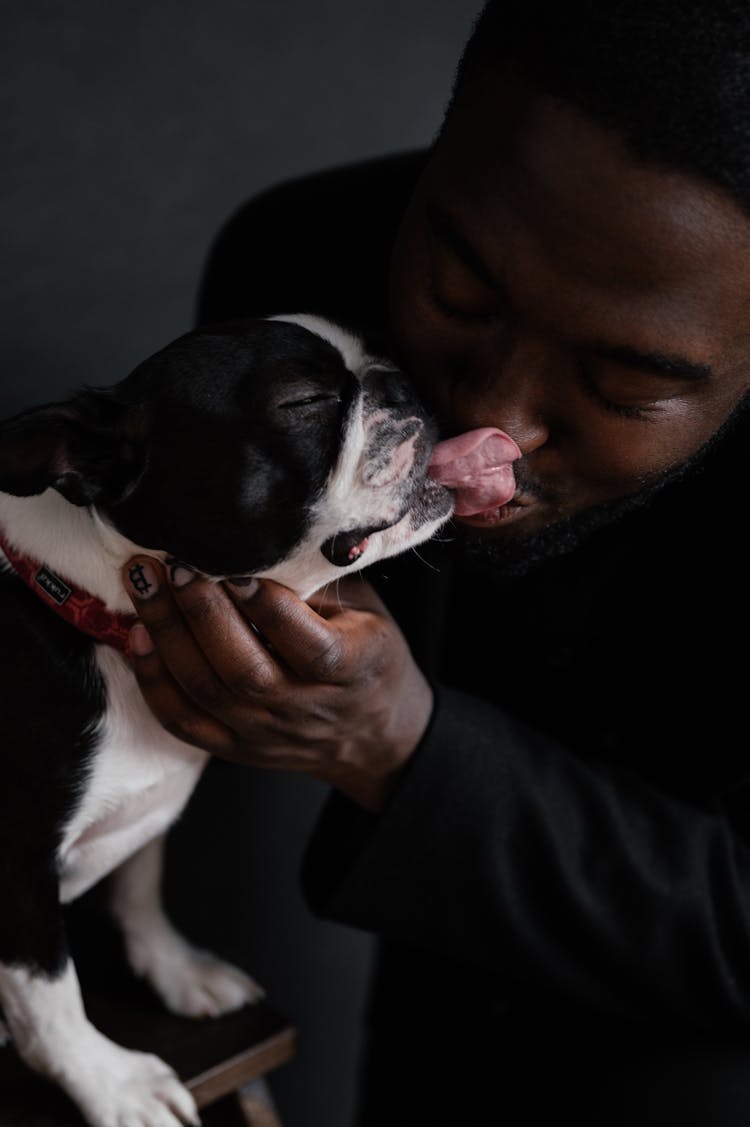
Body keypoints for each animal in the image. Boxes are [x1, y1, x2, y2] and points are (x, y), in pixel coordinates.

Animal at [0, 315, 451, 1127]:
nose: (399, 381)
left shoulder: (150, 807)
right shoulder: (17, 860)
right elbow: (46, 986)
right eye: (304, 402)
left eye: (375, 356)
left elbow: (141, 881)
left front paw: (175, 969)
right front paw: (109, 1081)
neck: (98, 612)